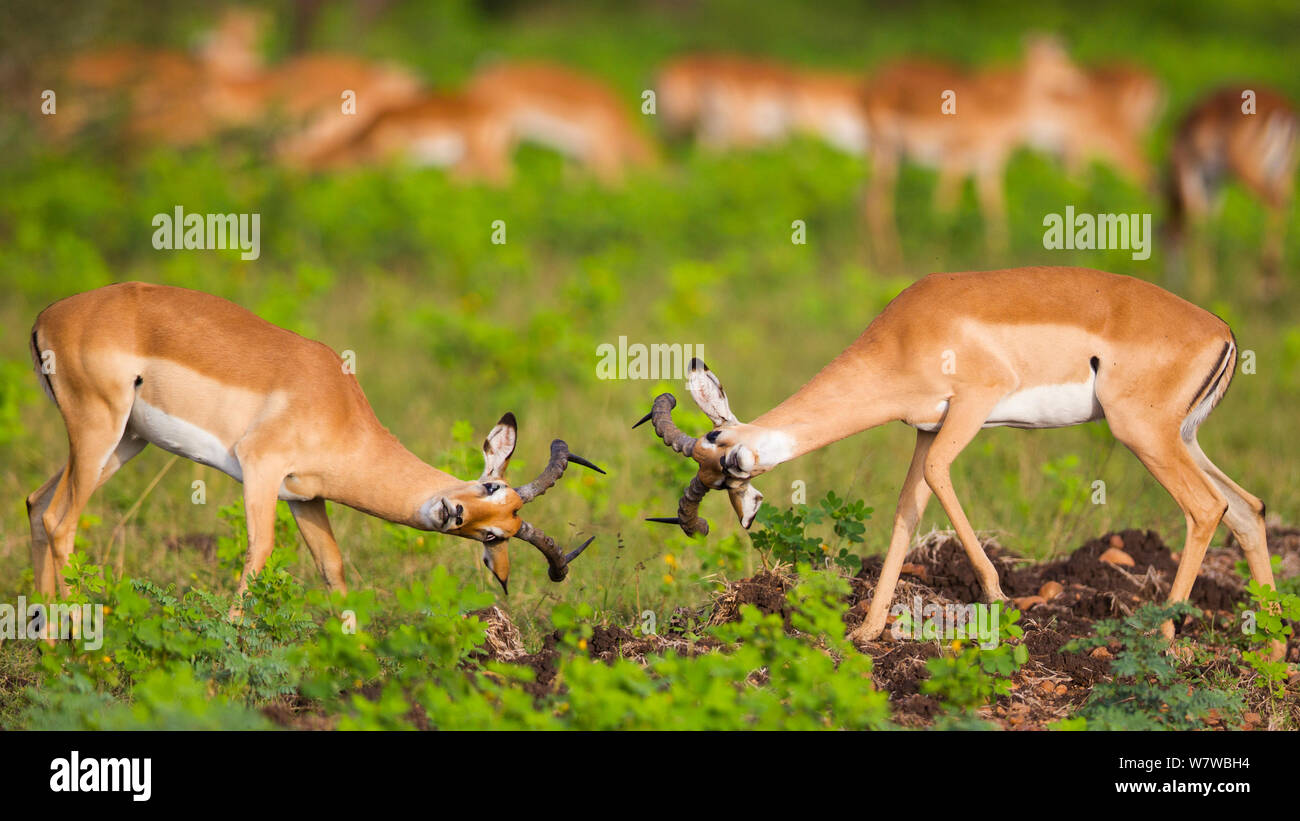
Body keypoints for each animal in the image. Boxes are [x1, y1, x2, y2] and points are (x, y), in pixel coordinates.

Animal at [27, 283, 600, 610]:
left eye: (494, 535)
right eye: (490, 487)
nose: (452, 511)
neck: (339, 409)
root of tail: (48, 317)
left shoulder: (305, 498)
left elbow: (333, 569)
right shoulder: (260, 469)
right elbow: (259, 553)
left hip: (126, 442)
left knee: (37, 505)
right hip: (100, 429)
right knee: (61, 521)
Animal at [639, 266, 1268, 644]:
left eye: (721, 459)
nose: (744, 509)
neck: (906, 332)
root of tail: (1221, 330)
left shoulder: (972, 406)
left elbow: (941, 476)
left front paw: (999, 597)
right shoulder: (926, 428)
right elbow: (905, 511)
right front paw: (867, 633)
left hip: (1143, 435)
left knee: (1207, 508)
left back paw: (1160, 639)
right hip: (1181, 438)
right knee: (1248, 508)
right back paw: (1271, 637)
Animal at [1164, 85, 1294, 298]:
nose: (1171, 279)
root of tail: (1284, 110)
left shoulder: (1189, 171)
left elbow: (1197, 220)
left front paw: (1201, 288)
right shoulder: (1214, 184)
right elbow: (1211, 222)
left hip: (1249, 169)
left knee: (1275, 203)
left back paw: (1264, 285)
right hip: (1284, 172)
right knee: (1283, 203)